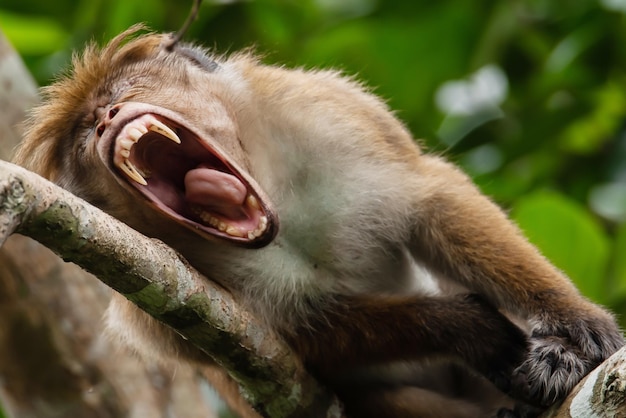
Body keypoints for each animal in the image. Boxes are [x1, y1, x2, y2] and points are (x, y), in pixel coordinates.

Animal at [12, 24, 620, 416]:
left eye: (120, 96)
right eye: (87, 132)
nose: (106, 119)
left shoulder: (326, 110)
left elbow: (431, 201)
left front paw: (575, 325)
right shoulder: (150, 300)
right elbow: (298, 335)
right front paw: (471, 330)